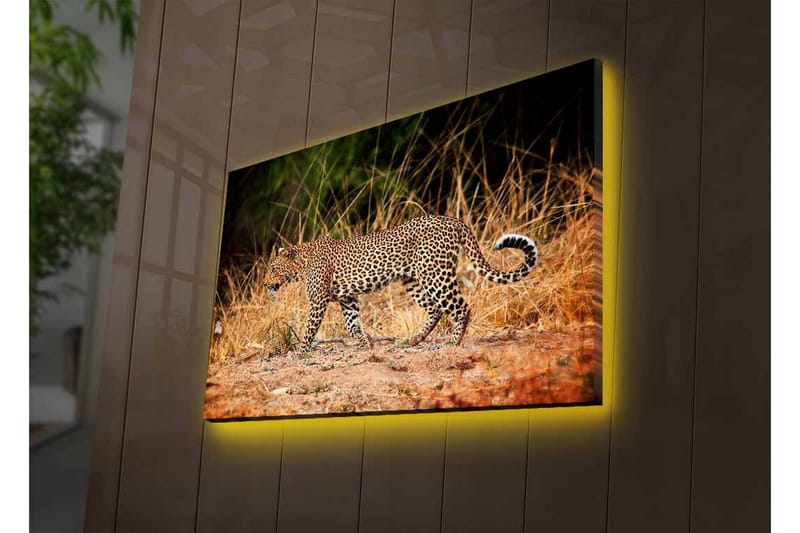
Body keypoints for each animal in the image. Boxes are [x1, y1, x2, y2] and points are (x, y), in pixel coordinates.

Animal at [264, 215, 538, 351]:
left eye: (274, 269)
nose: (266, 284)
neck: (302, 263)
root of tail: (453, 220)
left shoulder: (319, 300)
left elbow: (309, 330)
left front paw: (300, 353)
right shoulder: (347, 298)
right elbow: (352, 326)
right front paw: (366, 343)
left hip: (435, 275)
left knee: (461, 308)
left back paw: (452, 343)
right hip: (413, 280)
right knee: (435, 309)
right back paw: (413, 340)